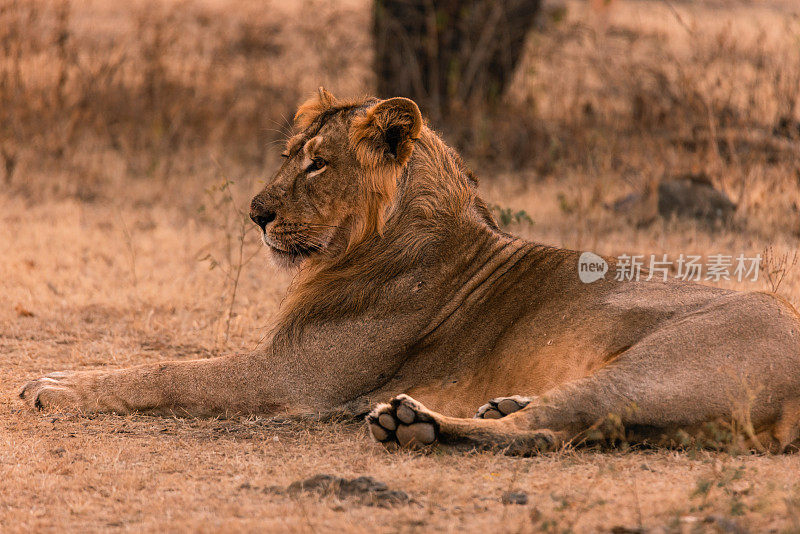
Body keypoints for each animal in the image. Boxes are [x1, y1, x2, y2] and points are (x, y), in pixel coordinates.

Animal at [17, 90, 800, 454]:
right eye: (288, 155)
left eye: (317, 164)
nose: (255, 212)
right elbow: (160, 362)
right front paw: (55, 374)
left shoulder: (291, 378)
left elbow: (169, 372)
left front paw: (51, 391)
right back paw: (493, 406)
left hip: (652, 369)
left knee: (551, 431)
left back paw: (411, 423)